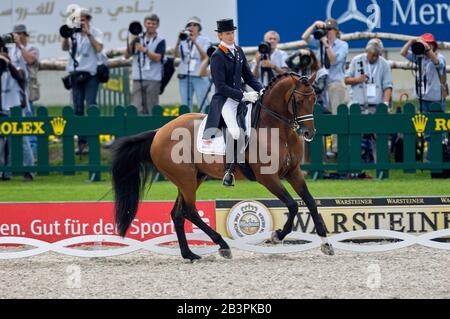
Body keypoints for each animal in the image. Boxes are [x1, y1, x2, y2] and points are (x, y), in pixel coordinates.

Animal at [111, 72, 334, 262]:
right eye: (299, 101)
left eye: (314, 99)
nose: (309, 133)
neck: (277, 129)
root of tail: (159, 132)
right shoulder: (268, 178)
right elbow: (293, 205)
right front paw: (276, 236)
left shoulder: (293, 172)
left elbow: (310, 202)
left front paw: (326, 243)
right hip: (185, 179)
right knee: (190, 211)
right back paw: (222, 245)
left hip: (194, 178)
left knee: (178, 213)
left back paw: (189, 254)